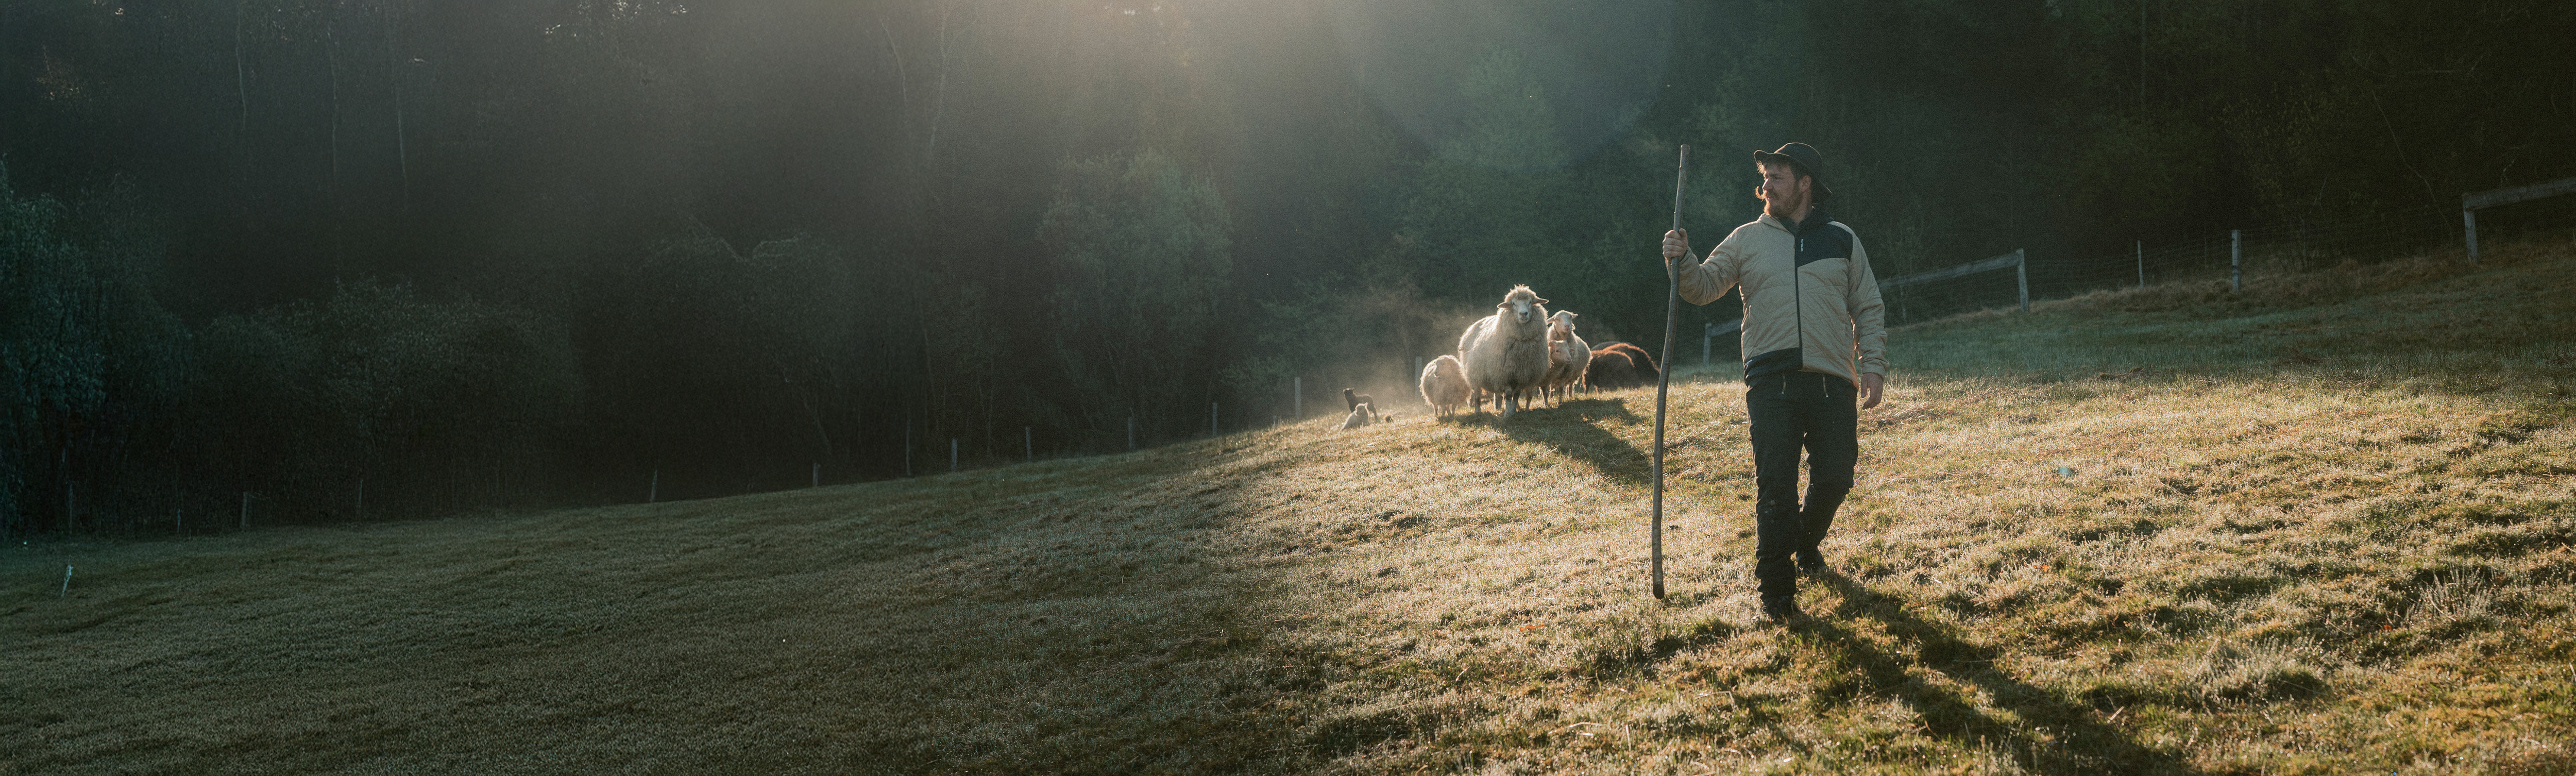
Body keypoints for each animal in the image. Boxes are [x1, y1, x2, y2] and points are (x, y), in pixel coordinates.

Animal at [1460, 285, 1552, 418]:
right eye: (1513, 304)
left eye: (1530, 302)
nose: (1523, 314)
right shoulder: (1505, 374)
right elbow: (1508, 395)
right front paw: (1508, 414)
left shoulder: (1521, 375)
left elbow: (1516, 395)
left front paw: (1513, 410)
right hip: (1475, 374)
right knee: (1477, 394)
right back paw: (1478, 412)